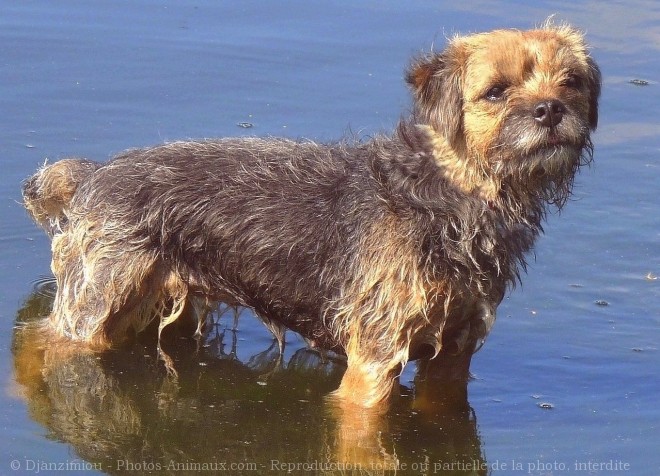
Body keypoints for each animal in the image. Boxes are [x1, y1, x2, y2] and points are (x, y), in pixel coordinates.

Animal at [21, 22, 600, 408]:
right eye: (496, 91)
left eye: (571, 82)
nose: (551, 109)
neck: (447, 192)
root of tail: (93, 175)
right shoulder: (374, 361)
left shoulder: (453, 357)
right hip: (95, 305)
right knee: (38, 340)